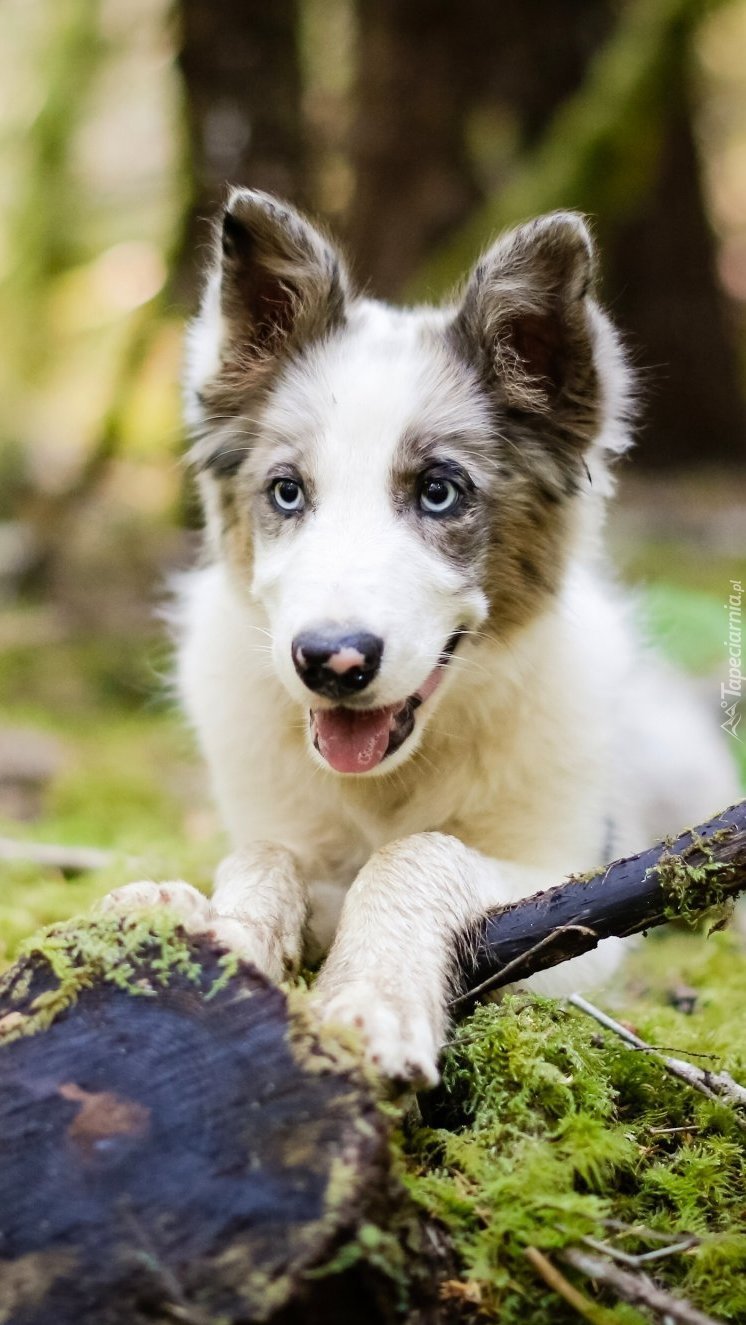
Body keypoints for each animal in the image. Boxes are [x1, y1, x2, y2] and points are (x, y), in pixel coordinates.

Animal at [102, 193, 736, 1086]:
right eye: (287, 492)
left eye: (439, 492)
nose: (330, 661)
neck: (385, 783)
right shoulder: (279, 825)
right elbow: (264, 853)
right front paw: (210, 925)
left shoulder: (576, 903)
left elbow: (418, 851)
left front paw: (372, 1000)